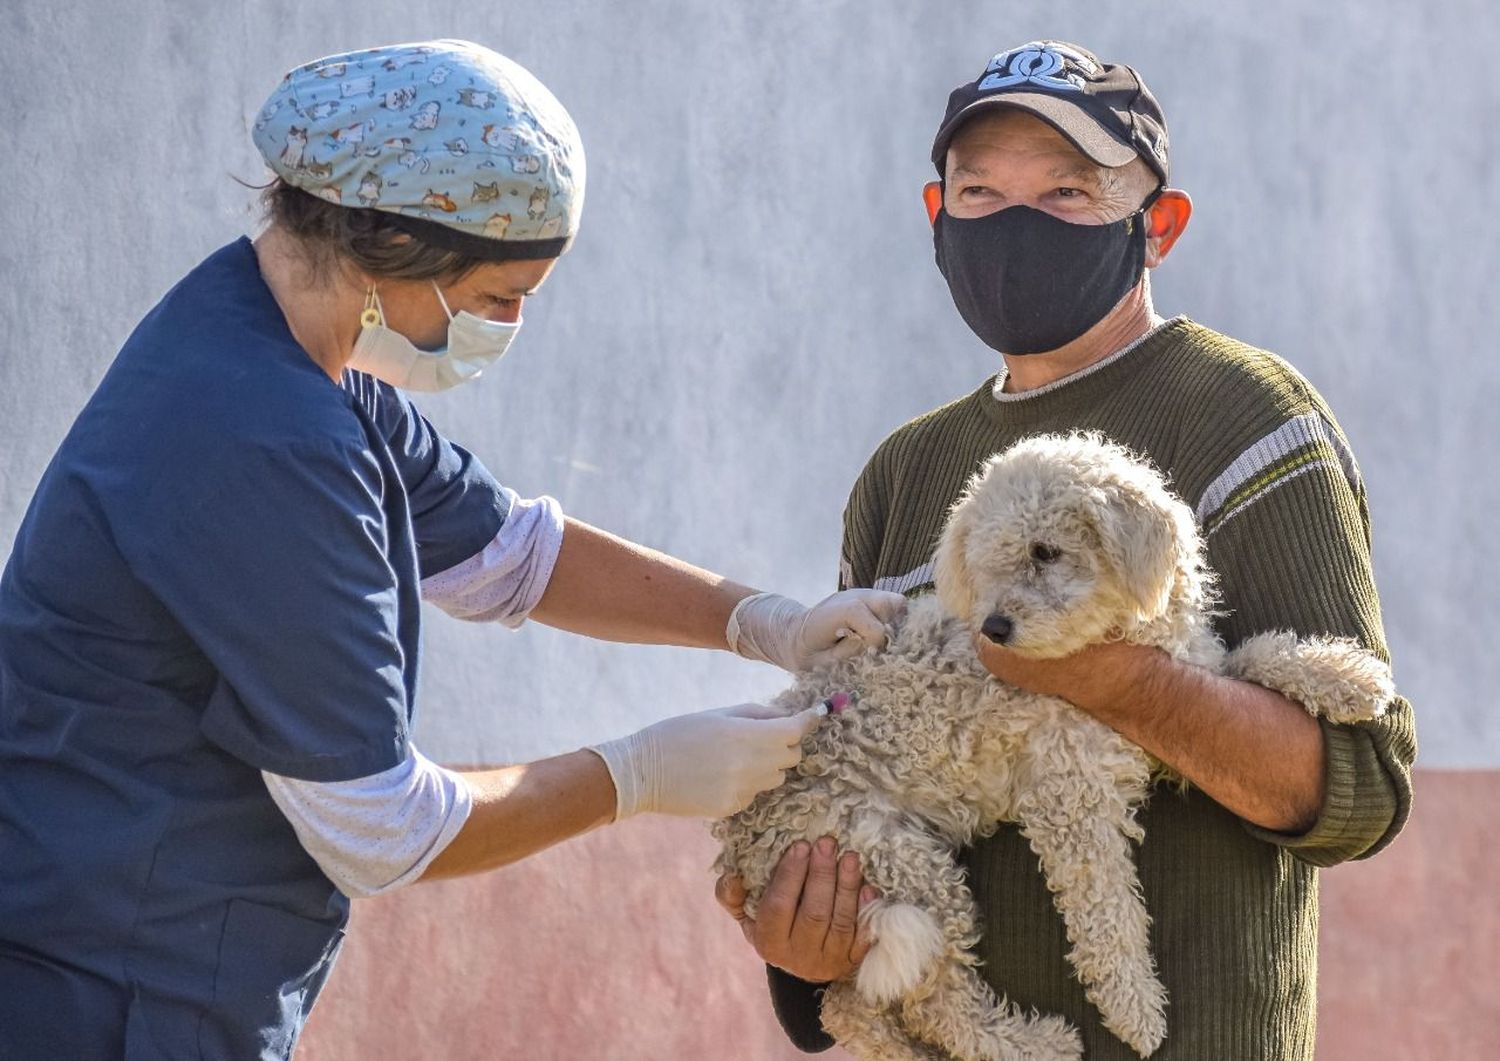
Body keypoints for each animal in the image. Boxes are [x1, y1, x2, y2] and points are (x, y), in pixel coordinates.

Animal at [714, 435, 1392, 1061]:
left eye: (1045, 551)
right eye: (990, 561)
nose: (994, 628)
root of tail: (740, 834)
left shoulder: (1187, 702)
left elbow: (1259, 654)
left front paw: (1349, 678)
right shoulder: (1070, 796)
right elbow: (1108, 913)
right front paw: (1135, 1009)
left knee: (854, 1005)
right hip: (892, 861)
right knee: (935, 1004)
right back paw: (1035, 1044)